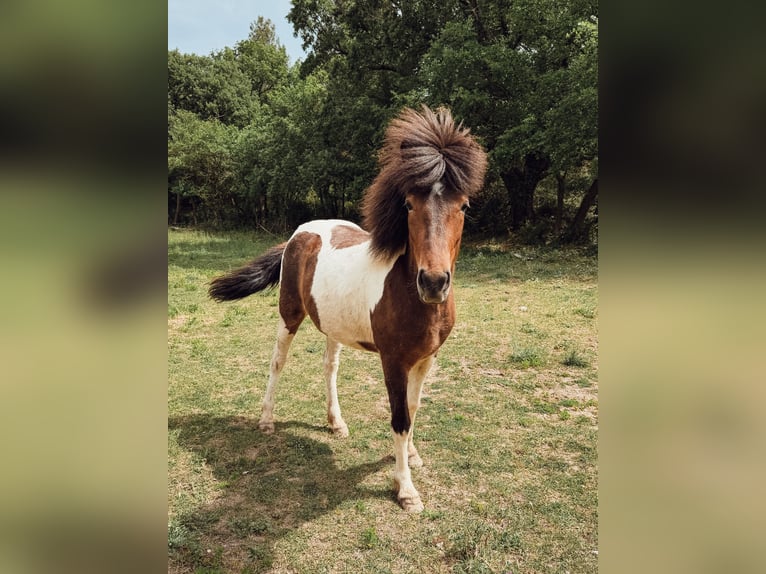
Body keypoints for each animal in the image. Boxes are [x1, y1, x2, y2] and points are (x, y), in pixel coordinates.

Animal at [208, 105, 487, 512]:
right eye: (408, 204)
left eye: (463, 205)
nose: (433, 283)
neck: (408, 294)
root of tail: (300, 234)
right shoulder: (394, 362)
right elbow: (400, 417)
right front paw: (406, 490)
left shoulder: (426, 359)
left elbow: (414, 408)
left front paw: (412, 457)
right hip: (289, 316)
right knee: (277, 362)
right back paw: (266, 420)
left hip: (332, 327)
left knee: (329, 368)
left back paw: (335, 423)